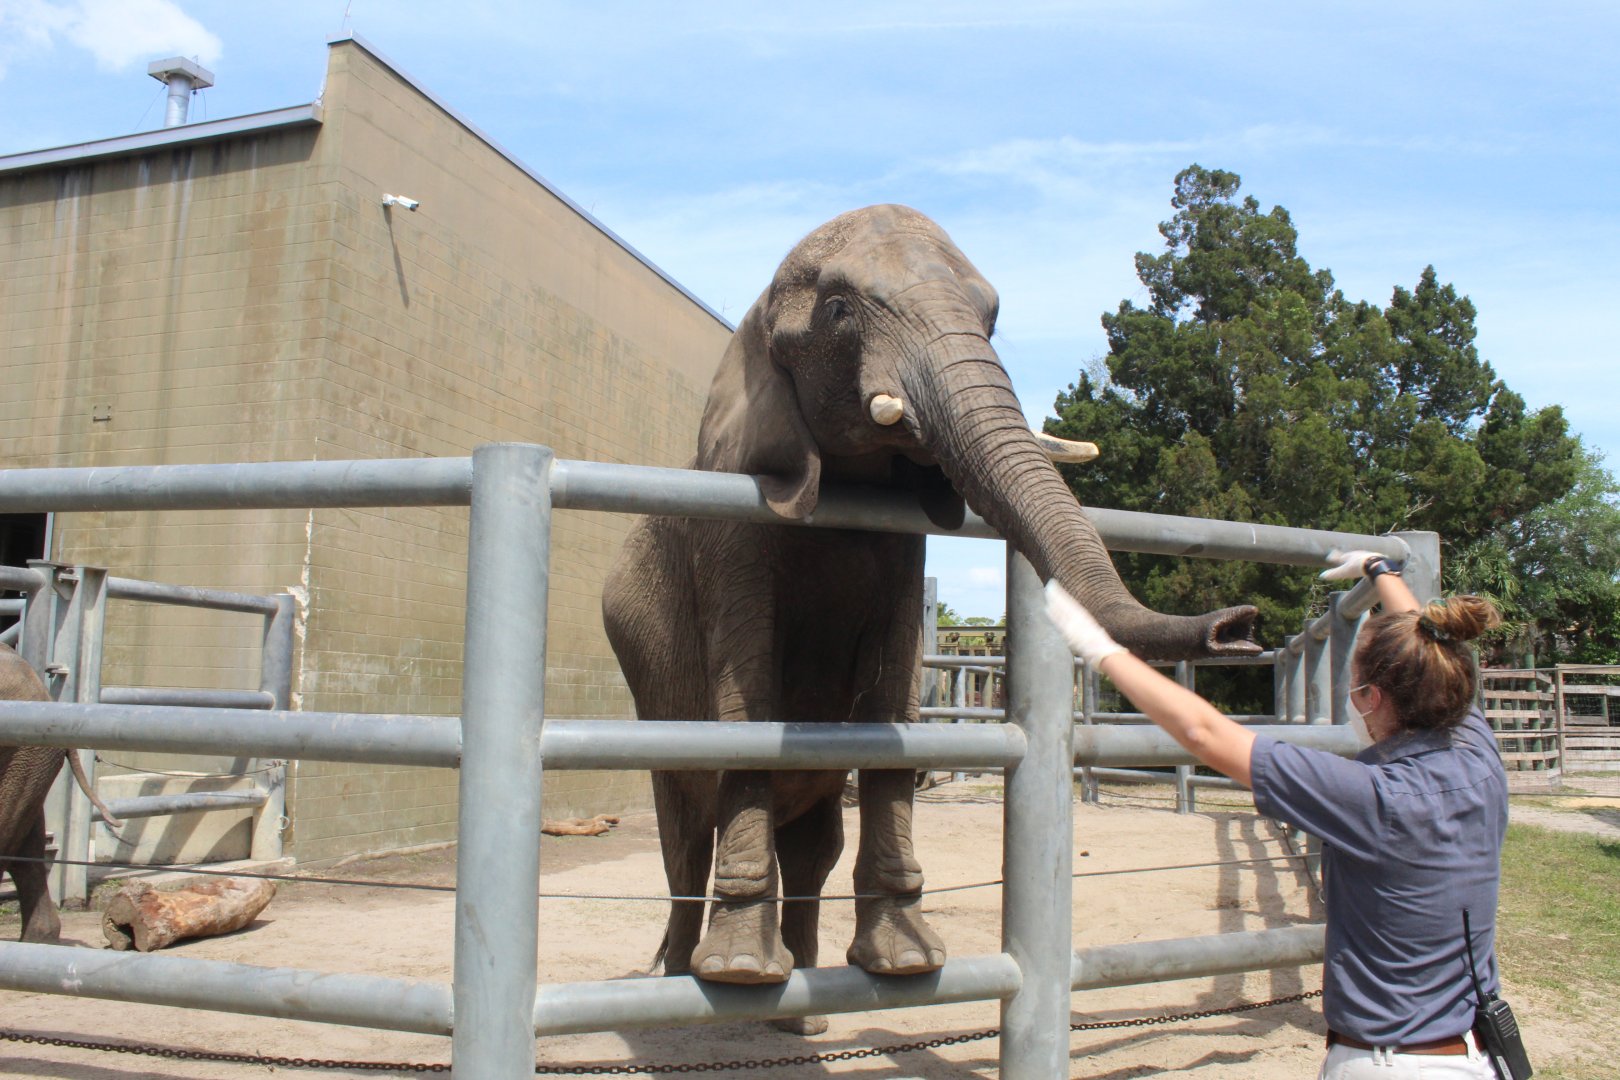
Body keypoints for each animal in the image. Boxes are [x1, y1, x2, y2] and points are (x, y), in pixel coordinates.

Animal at [602, 204, 1259, 1010]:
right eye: (840, 310)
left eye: (992, 316)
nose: (1240, 627)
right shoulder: (734, 527)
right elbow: (747, 700)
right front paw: (739, 971)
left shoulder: (903, 547)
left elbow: (893, 702)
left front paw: (905, 962)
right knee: (686, 832)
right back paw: (685, 979)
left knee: (812, 841)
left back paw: (803, 1006)